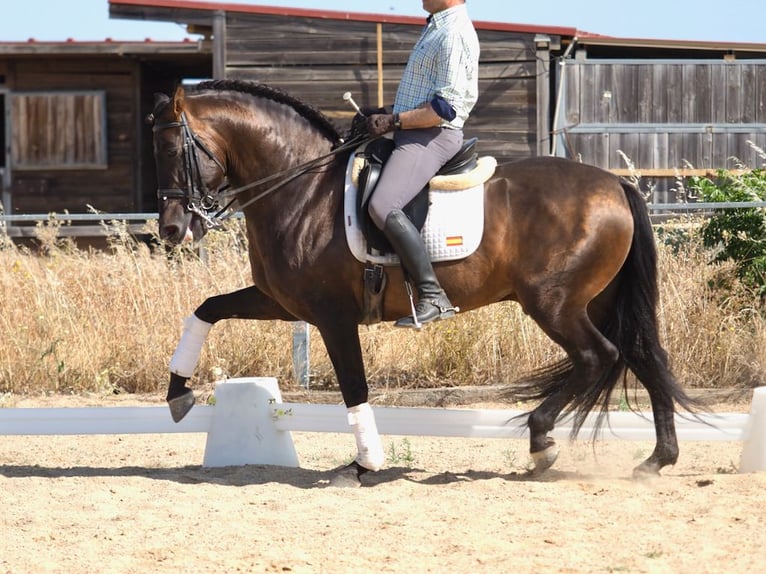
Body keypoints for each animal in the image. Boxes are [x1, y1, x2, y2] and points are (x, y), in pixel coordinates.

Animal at [147, 80, 700, 486]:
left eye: (175, 150)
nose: (172, 230)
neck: (300, 188)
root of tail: (616, 183)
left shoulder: (331, 316)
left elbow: (354, 386)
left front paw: (362, 465)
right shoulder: (282, 303)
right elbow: (206, 309)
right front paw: (178, 393)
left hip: (554, 303)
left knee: (597, 356)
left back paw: (542, 441)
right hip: (596, 300)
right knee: (643, 355)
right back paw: (657, 460)